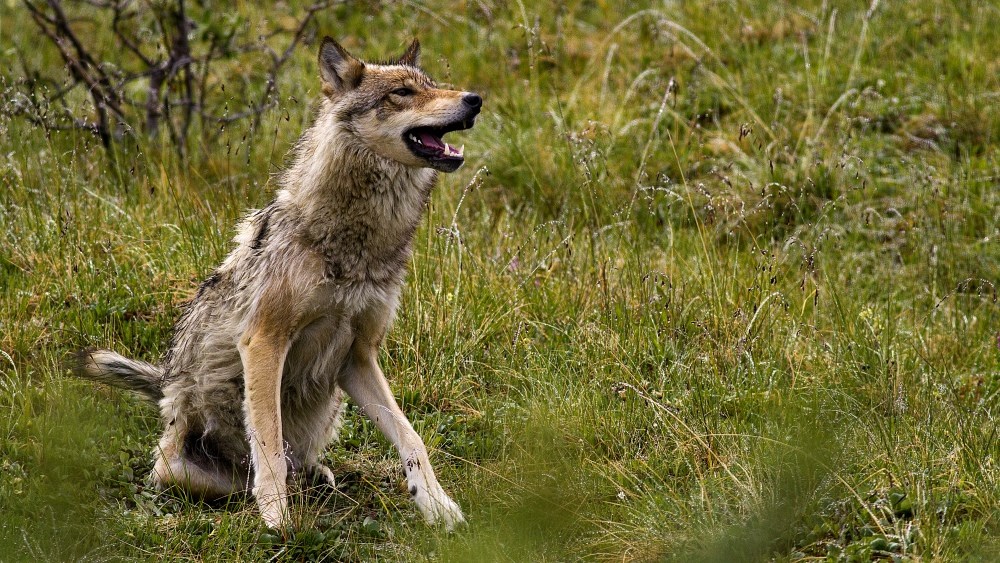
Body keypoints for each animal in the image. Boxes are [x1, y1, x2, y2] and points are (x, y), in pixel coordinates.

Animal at [80, 36, 478, 532]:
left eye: (433, 84)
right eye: (402, 92)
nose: (475, 100)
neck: (353, 245)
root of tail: (167, 383)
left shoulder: (358, 355)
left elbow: (412, 437)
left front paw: (438, 506)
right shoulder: (265, 342)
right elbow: (268, 441)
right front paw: (277, 520)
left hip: (331, 403)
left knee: (301, 464)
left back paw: (319, 476)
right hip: (180, 466)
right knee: (233, 474)